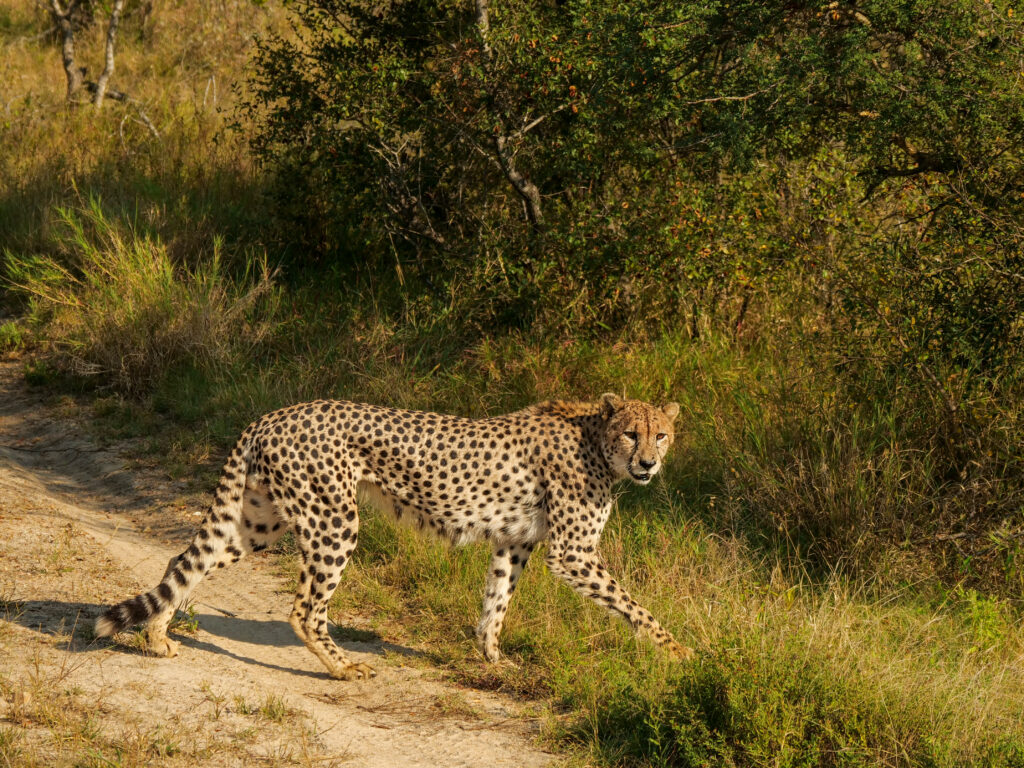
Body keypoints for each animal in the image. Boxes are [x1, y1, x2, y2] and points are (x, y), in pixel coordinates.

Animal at [95, 392, 693, 680]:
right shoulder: (572, 554)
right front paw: (680, 651)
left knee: (184, 562)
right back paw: (342, 667)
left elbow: (496, 603)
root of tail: (274, 414)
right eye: (631, 432)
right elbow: (636, 607)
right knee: (304, 609)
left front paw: (492, 658)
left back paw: (157, 637)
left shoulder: (515, 542)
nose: (648, 463)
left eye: (661, 434)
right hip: (334, 519)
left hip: (259, 522)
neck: (597, 441)